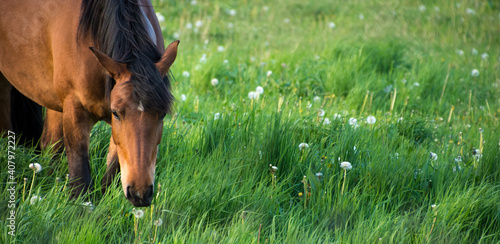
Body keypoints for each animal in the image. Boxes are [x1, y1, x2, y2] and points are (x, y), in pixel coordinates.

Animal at [0, 0, 180, 207]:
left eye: (162, 114)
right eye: (116, 113)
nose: (140, 193)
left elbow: (110, 173)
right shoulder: (75, 109)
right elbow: (80, 171)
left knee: (50, 145)